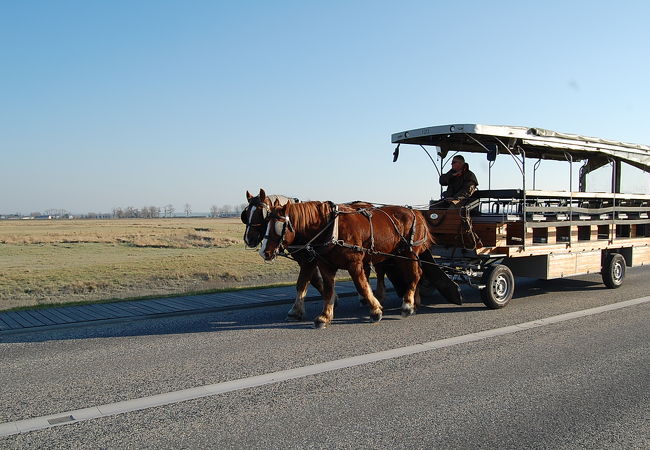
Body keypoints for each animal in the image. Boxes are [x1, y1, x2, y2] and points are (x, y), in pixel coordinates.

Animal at [258, 200, 430, 326]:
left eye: (279, 226)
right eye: (265, 222)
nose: (264, 252)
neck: (331, 229)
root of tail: (415, 212)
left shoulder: (354, 263)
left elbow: (362, 285)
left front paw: (375, 310)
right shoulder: (324, 265)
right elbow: (326, 289)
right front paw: (325, 315)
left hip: (409, 252)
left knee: (415, 275)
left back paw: (407, 304)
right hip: (398, 255)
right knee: (412, 275)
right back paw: (414, 302)